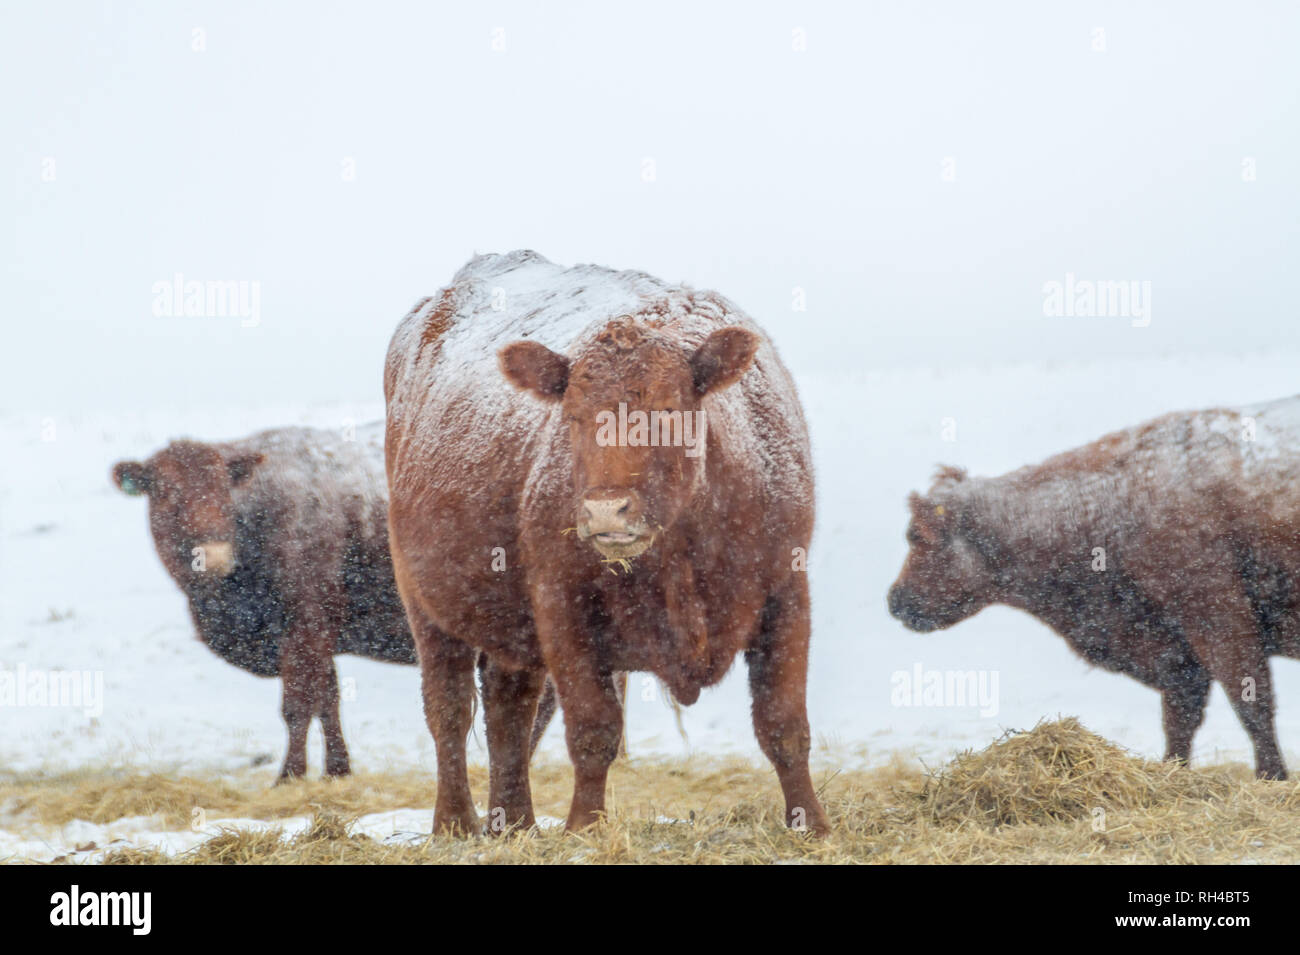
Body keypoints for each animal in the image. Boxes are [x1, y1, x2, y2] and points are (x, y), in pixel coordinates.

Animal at [384, 250, 826, 835]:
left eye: (667, 412)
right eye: (572, 417)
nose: (604, 509)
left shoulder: (787, 593)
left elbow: (785, 725)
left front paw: (812, 824)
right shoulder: (563, 607)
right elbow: (593, 730)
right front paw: (584, 829)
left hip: (510, 628)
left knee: (508, 709)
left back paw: (515, 824)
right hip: (426, 605)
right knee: (450, 710)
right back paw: (455, 825)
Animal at [887, 396, 1300, 779]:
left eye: (918, 535)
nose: (895, 600)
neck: (1116, 497)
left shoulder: (1218, 619)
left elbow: (1252, 704)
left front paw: (1271, 777)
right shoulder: (1179, 648)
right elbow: (1180, 719)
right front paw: (1172, 772)